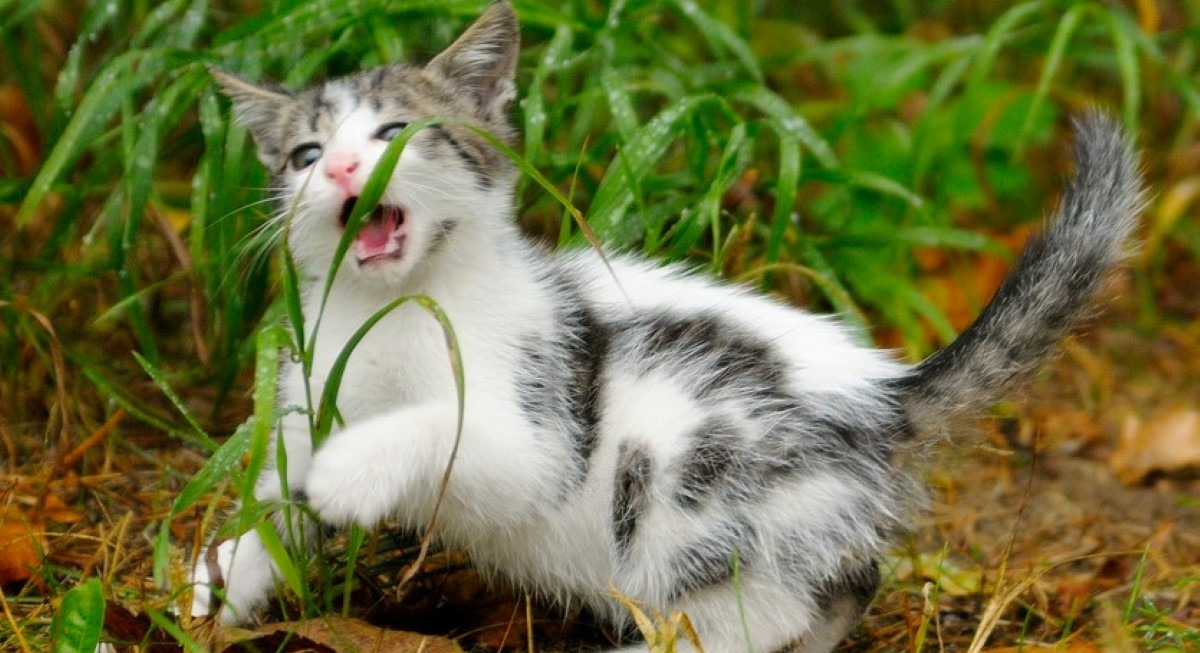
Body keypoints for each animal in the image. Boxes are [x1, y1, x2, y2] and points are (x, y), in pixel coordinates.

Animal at [194, 2, 1142, 648]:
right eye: (306, 154)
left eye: (399, 131)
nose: (343, 169)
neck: (390, 309)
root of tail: (884, 397)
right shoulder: (310, 390)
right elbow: (278, 503)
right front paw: (221, 583)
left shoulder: (540, 436)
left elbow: (445, 424)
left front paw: (350, 470)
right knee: (836, 591)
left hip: (683, 484)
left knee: (749, 613)